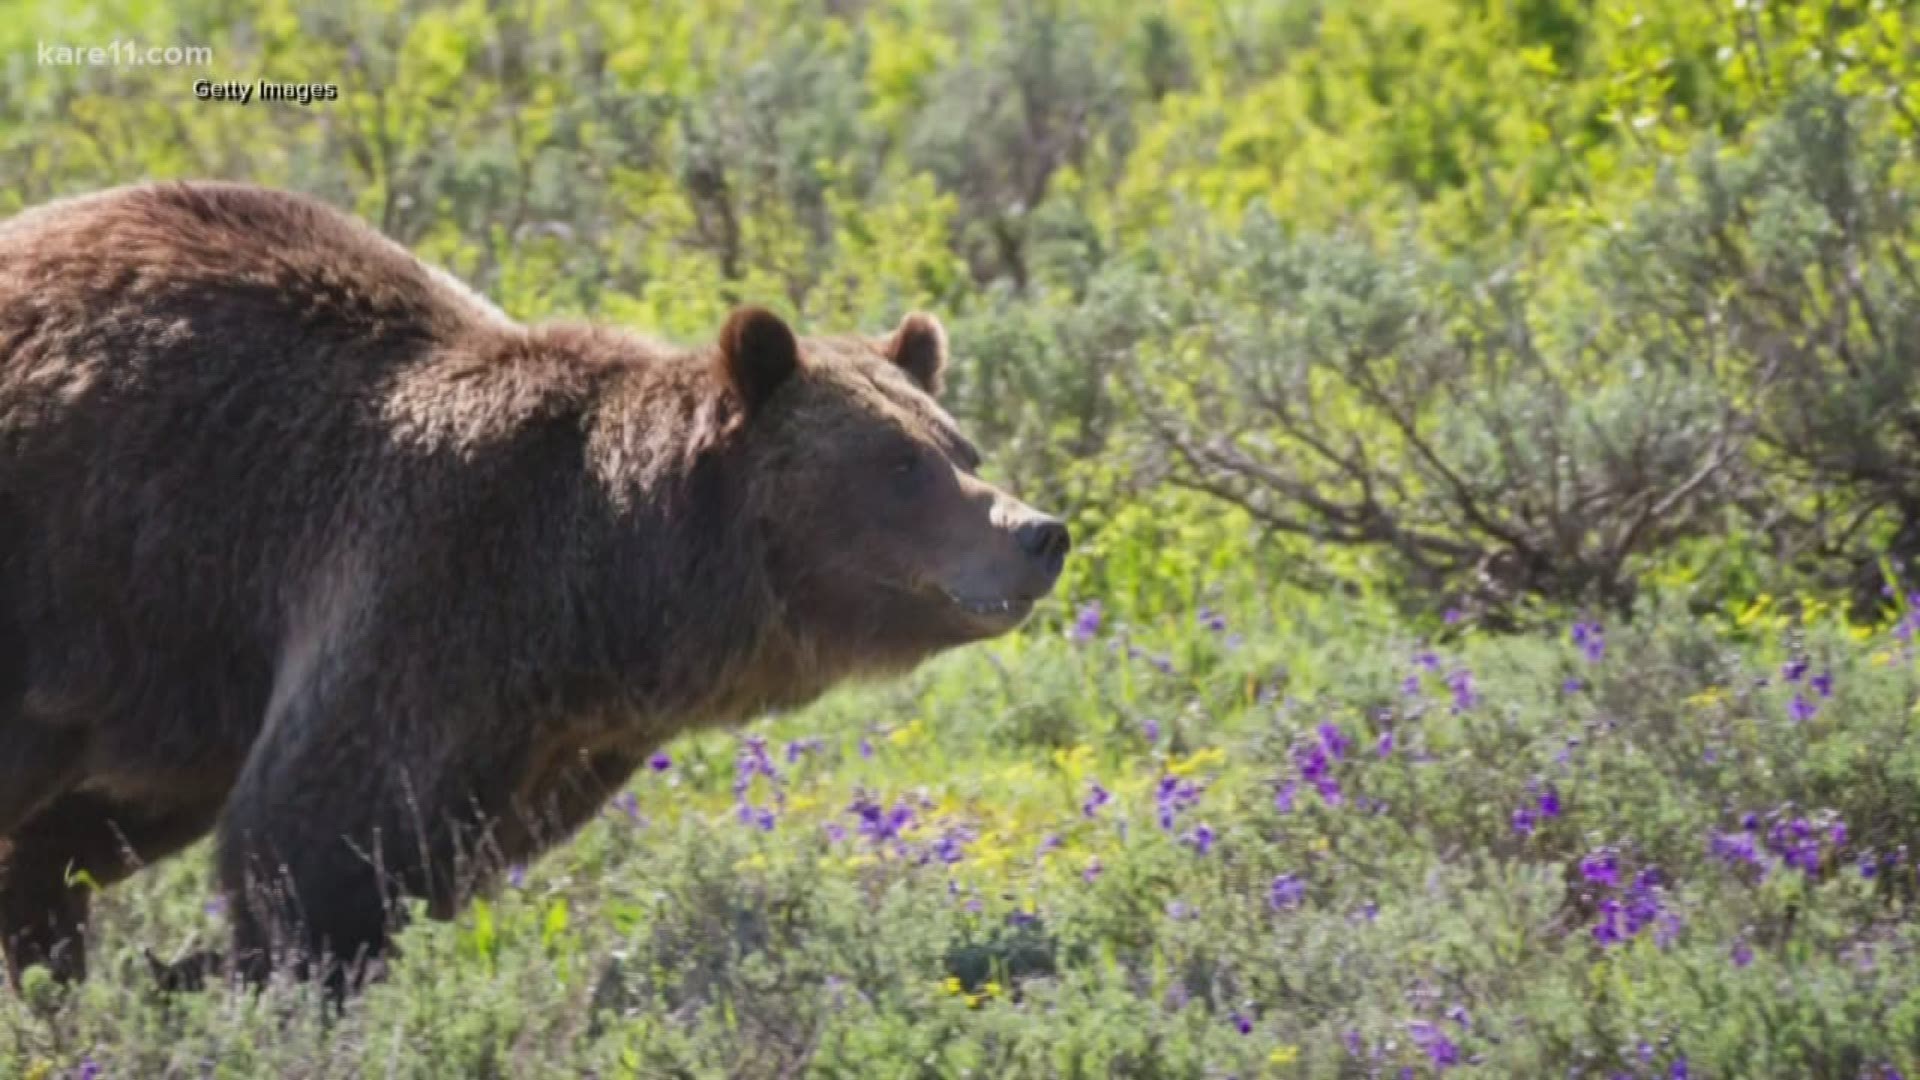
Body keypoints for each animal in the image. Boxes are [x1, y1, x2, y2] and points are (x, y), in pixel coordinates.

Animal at [0, 180, 1067, 991]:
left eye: (961, 446)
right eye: (900, 465)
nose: (1037, 533)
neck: (603, 592)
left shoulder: (546, 736)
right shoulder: (425, 580)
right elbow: (321, 831)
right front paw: (271, 976)